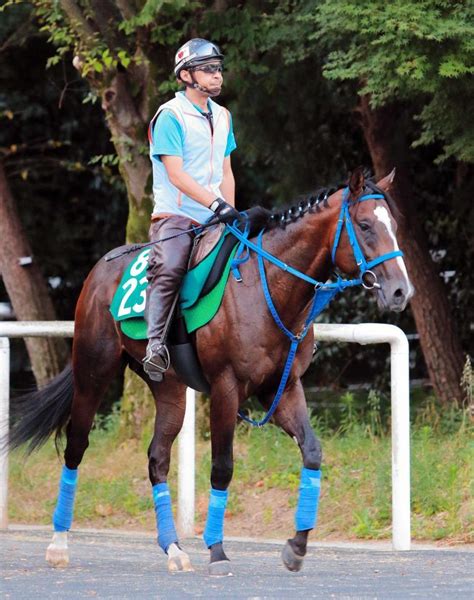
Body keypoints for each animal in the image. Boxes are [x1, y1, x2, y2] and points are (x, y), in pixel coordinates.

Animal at [9, 168, 412, 576]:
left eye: (394, 226)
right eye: (365, 225)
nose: (400, 291)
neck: (265, 285)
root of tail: (101, 268)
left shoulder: (282, 388)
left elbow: (312, 452)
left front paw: (296, 546)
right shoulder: (225, 387)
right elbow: (222, 466)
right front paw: (217, 550)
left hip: (168, 388)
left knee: (157, 458)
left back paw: (174, 549)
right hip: (93, 373)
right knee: (76, 446)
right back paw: (58, 544)